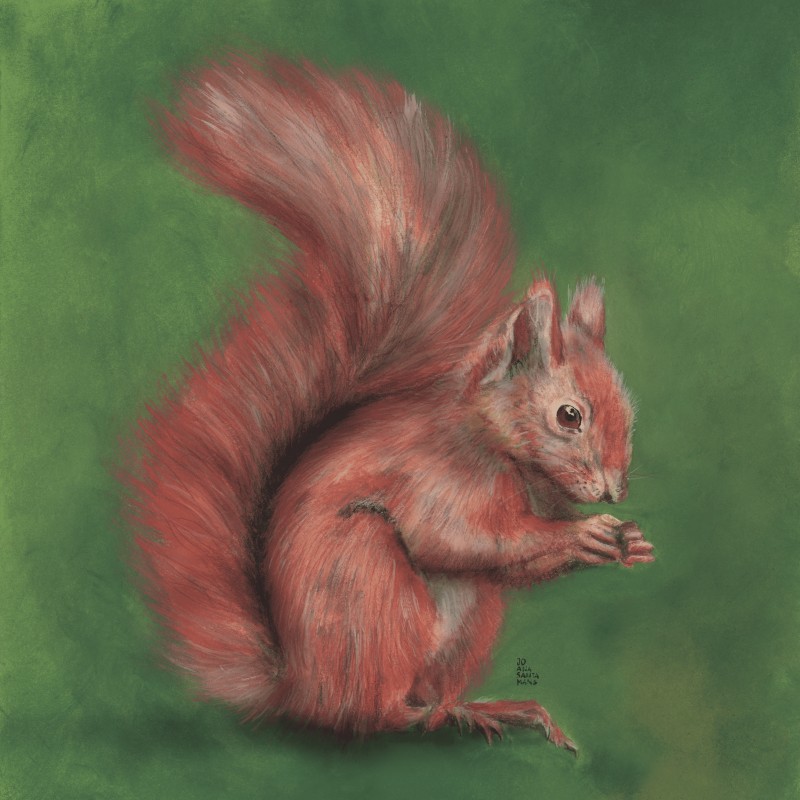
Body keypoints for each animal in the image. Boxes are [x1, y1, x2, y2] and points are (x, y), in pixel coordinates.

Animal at [127, 54, 655, 754]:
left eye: (629, 410)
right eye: (570, 416)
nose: (613, 491)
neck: (503, 454)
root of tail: (297, 687)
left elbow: (511, 565)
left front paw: (629, 542)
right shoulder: (436, 480)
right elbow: (466, 538)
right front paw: (583, 533)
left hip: (469, 619)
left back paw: (487, 709)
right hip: (367, 577)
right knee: (369, 712)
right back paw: (430, 717)